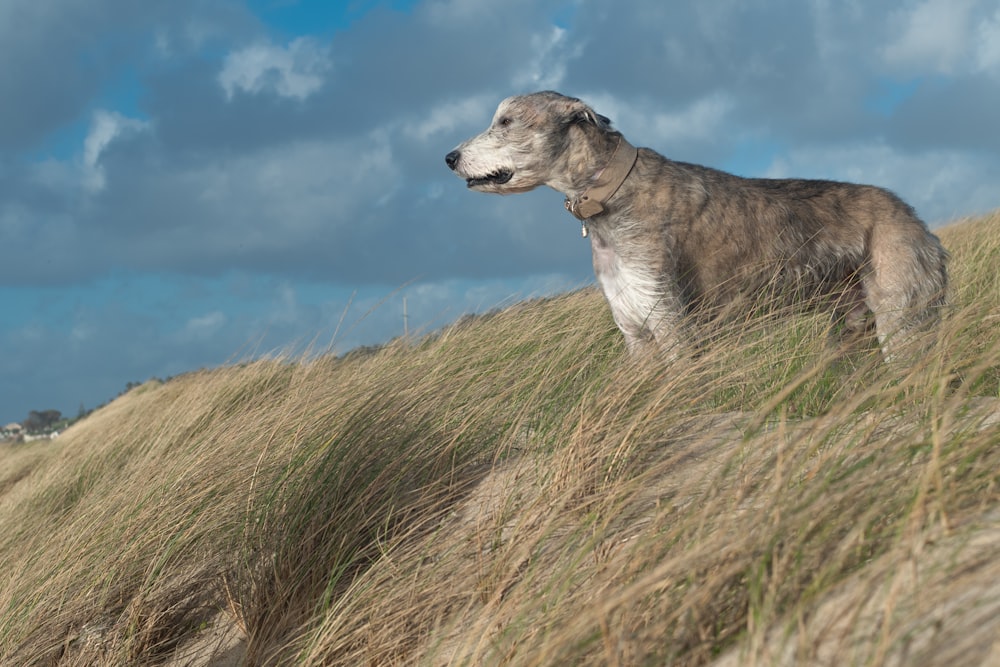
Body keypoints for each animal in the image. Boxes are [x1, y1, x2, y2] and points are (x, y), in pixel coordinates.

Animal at [446, 90, 944, 360]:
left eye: (506, 120)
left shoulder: (671, 324)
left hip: (901, 315)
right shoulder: (634, 333)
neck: (615, 191)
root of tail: (919, 222)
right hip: (850, 325)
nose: (449, 157)